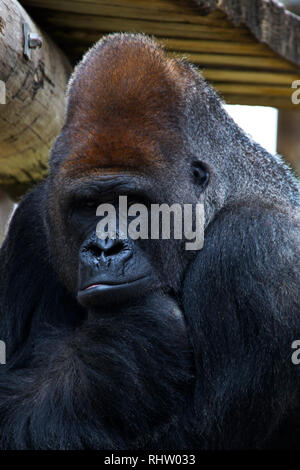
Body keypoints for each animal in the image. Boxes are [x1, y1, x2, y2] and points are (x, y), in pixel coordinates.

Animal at [0, 35, 300, 450]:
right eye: (89, 206)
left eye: (135, 205)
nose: (105, 250)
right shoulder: (31, 223)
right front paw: (124, 345)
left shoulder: (254, 245)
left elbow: (200, 434)